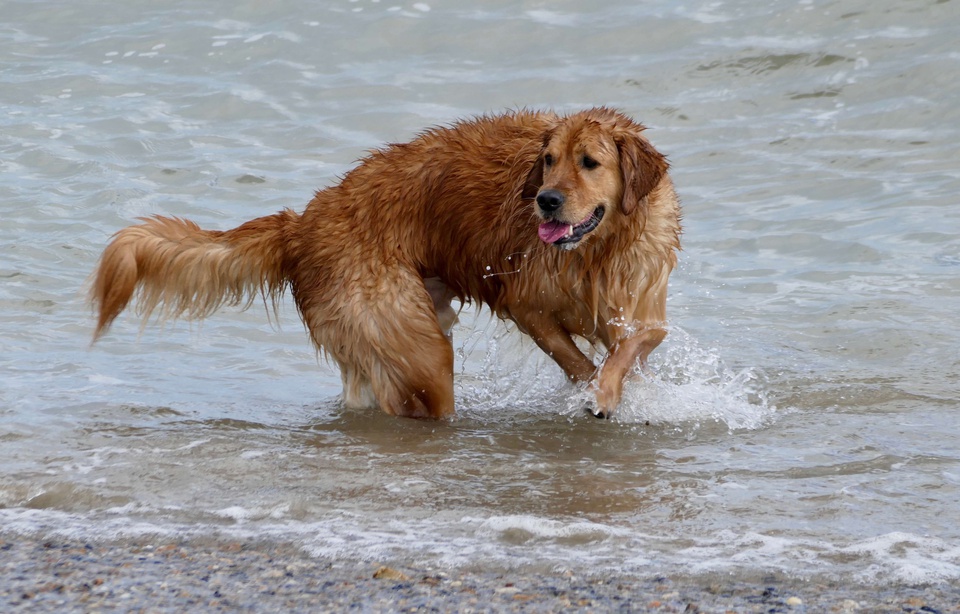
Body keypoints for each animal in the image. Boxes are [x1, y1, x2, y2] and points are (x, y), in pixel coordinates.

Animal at [86, 108, 680, 422]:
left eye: (590, 163)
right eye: (549, 161)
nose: (546, 200)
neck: (598, 250)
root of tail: (301, 223)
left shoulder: (643, 306)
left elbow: (632, 345)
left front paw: (613, 388)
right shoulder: (525, 304)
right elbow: (574, 357)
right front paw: (594, 392)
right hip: (414, 343)